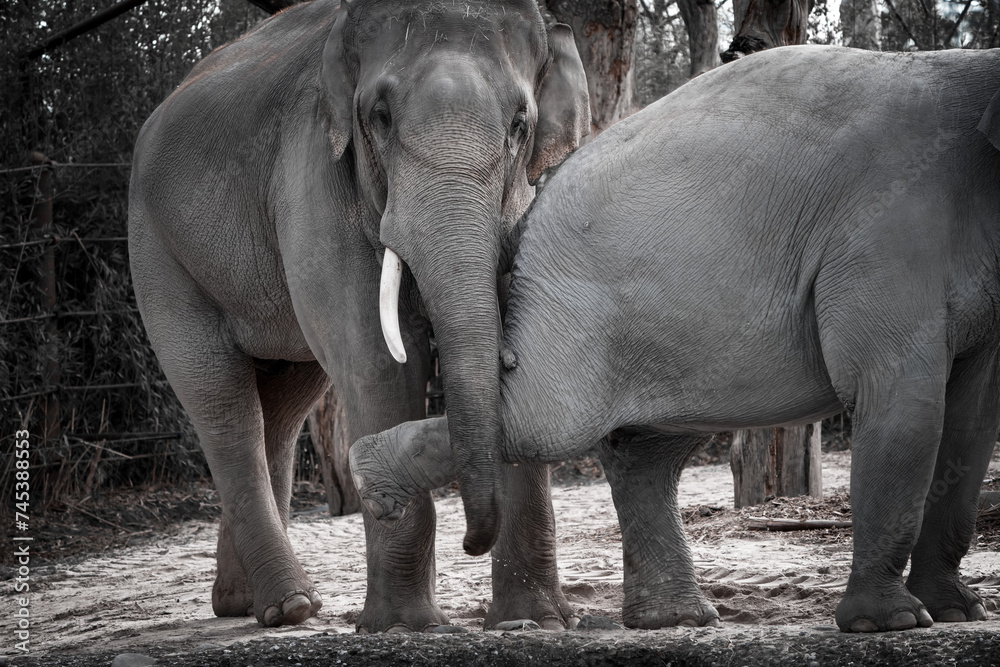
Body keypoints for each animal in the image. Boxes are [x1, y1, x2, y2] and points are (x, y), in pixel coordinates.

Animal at [128, 0, 590, 630]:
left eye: (521, 123)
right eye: (381, 117)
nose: (472, 543)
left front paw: (534, 622)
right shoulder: (313, 177)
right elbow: (379, 362)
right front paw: (404, 626)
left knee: (283, 404)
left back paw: (244, 604)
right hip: (159, 255)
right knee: (221, 400)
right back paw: (290, 607)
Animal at [351, 45, 1000, 632]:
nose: (470, 544)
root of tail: (533, 206)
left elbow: (973, 417)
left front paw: (957, 611)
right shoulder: (888, 228)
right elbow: (896, 394)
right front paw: (893, 623)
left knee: (644, 446)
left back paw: (676, 619)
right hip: (589, 298)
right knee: (548, 422)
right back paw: (369, 477)